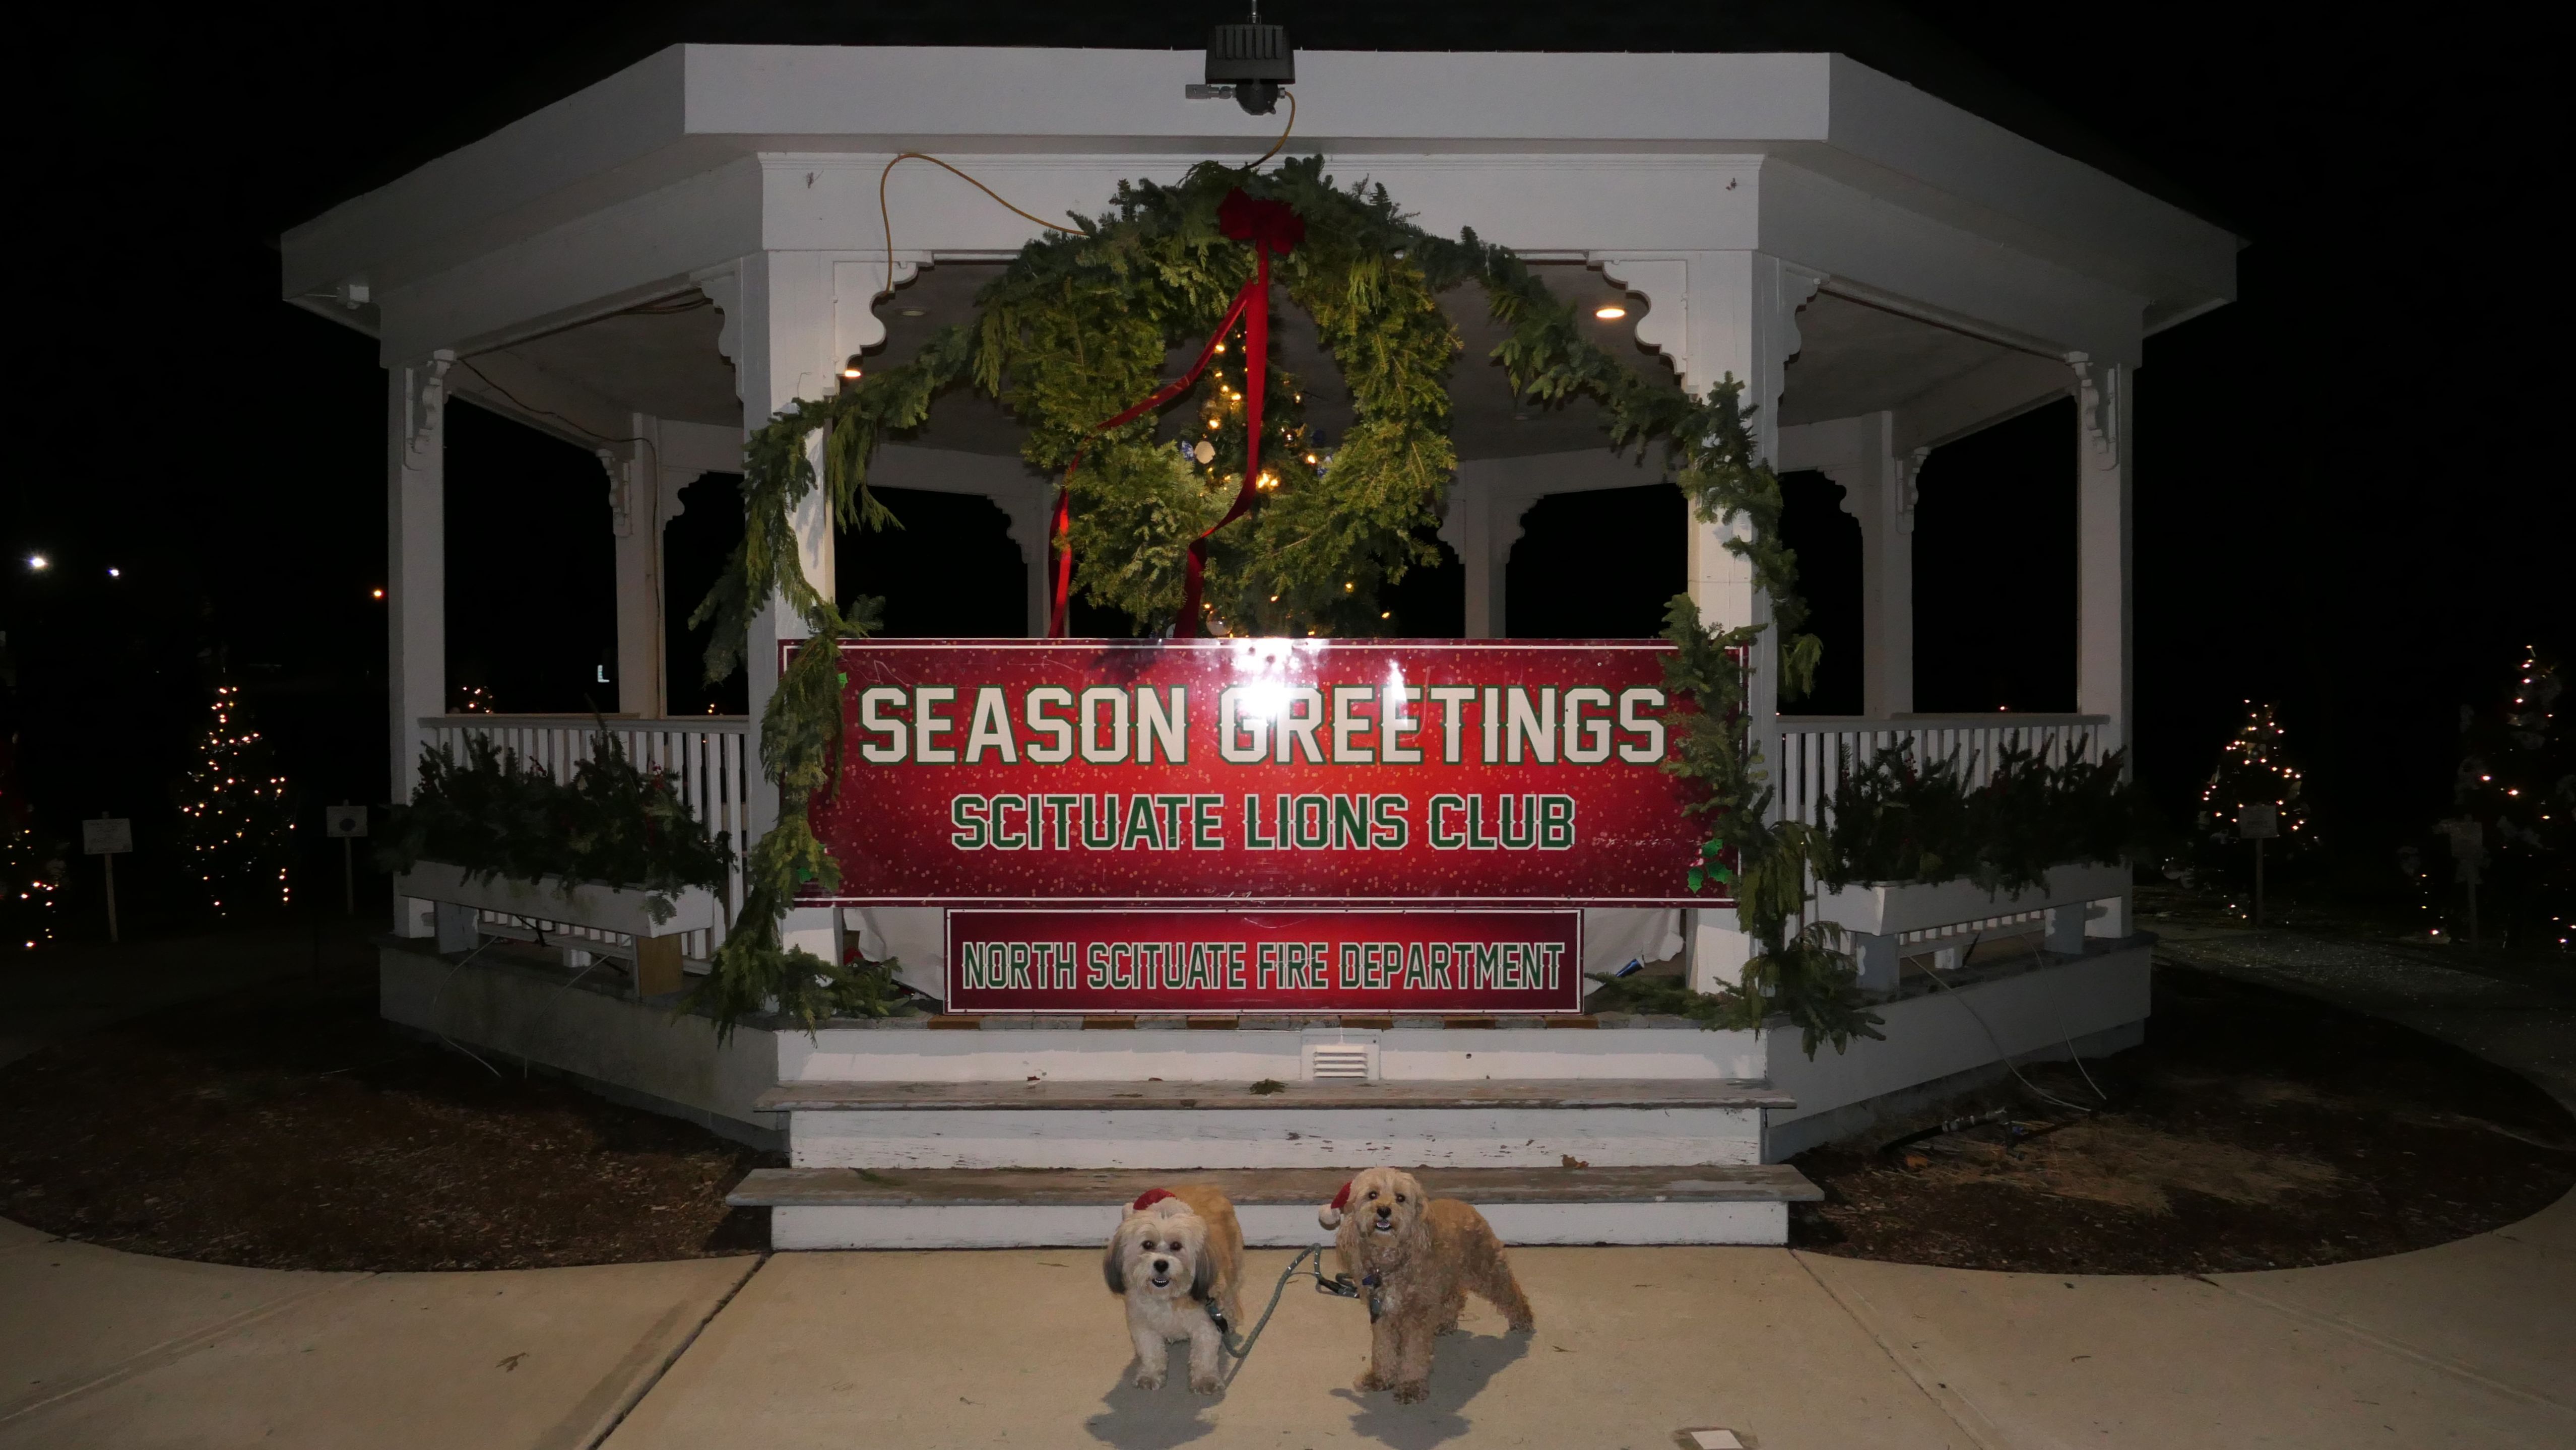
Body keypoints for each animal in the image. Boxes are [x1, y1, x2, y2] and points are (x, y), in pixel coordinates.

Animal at [1103, 1185, 1245, 1393]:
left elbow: (1205, 1356)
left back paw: (1230, 1322)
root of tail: (1208, 1186)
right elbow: (1151, 1353)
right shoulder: (1143, 1325)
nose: (1161, 1264)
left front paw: (1206, 1380)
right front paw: (1150, 1375)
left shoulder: (1206, 1324)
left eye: (1177, 1246)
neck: (1168, 1297)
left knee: (1231, 1299)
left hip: (1232, 1272)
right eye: (1148, 1244)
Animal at [1320, 1167, 1535, 1403]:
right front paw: (1380, 1378)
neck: (1391, 1263)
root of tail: (1466, 1207)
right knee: (1457, 1298)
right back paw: (1446, 1323)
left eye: (1400, 1198)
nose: (1384, 1210)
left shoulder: (1417, 1316)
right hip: (1448, 1279)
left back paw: (1523, 1320)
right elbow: (1383, 1349)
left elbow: (1414, 1354)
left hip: (1487, 1270)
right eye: (1372, 1195)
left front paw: (1411, 1386)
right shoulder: (1382, 1315)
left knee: (1511, 1293)